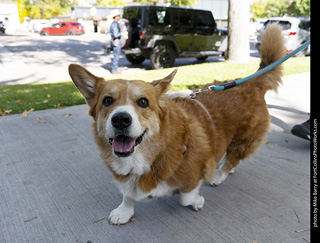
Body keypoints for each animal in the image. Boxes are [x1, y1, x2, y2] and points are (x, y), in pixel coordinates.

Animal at [69, 24, 284, 224]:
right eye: (107, 101)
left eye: (143, 102)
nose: (121, 119)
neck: (147, 157)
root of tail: (250, 82)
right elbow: (128, 194)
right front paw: (124, 211)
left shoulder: (193, 178)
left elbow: (185, 198)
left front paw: (198, 201)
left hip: (244, 140)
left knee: (233, 157)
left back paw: (219, 175)